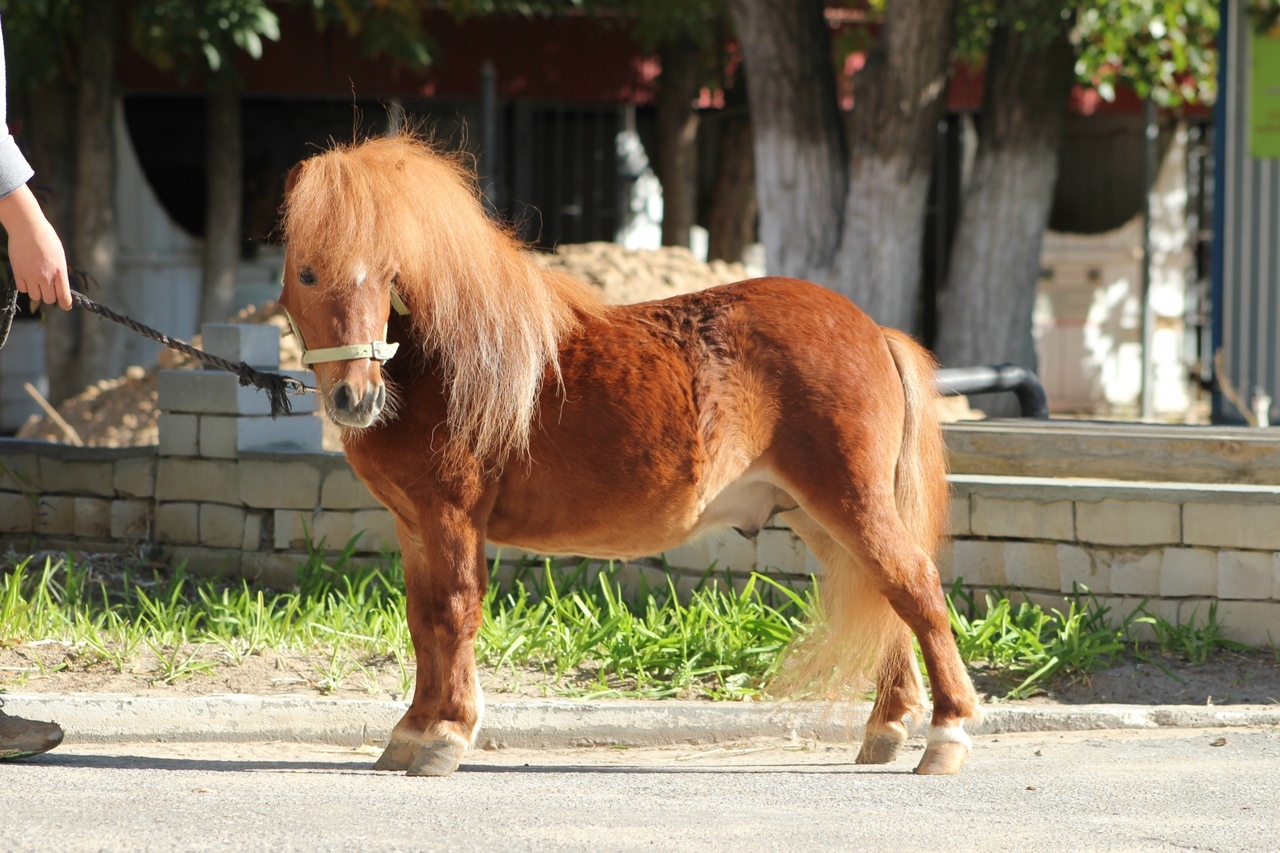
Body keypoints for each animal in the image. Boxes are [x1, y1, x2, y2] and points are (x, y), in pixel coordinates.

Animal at [277, 133, 980, 778]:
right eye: (307, 273)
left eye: (387, 275)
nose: (356, 397)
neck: (451, 360)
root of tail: (873, 330)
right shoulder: (414, 523)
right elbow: (422, 621)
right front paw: (412, 732)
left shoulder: (452, 515)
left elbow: (453, 613)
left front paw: (446, 735)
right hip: (817, 515)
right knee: (883, 590)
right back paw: (888, 728)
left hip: (849, 501)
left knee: (914, 586)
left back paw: (947, 736)